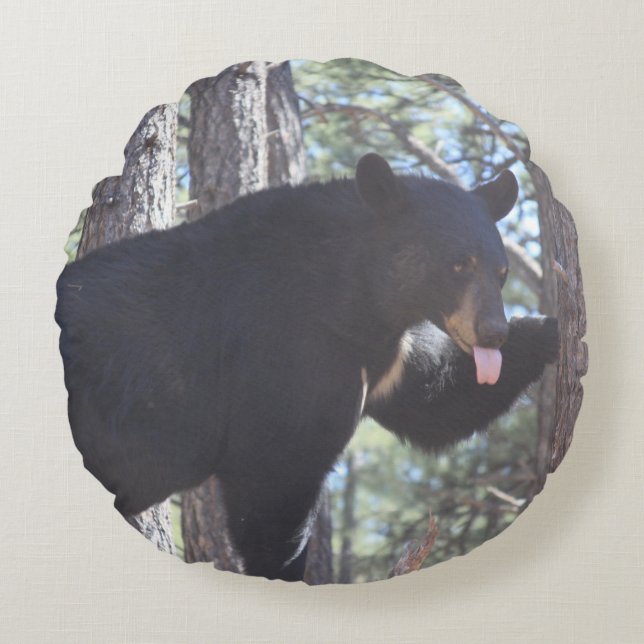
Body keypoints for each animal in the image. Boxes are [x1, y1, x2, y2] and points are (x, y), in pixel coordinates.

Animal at [55, 153, 559, 582]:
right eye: (458, 265)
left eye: (501, 272)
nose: (493, 333)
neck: (356, 299)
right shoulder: (287, 351)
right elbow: (276, 469)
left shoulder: (385, 356)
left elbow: (433, 402)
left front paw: (553, 328)